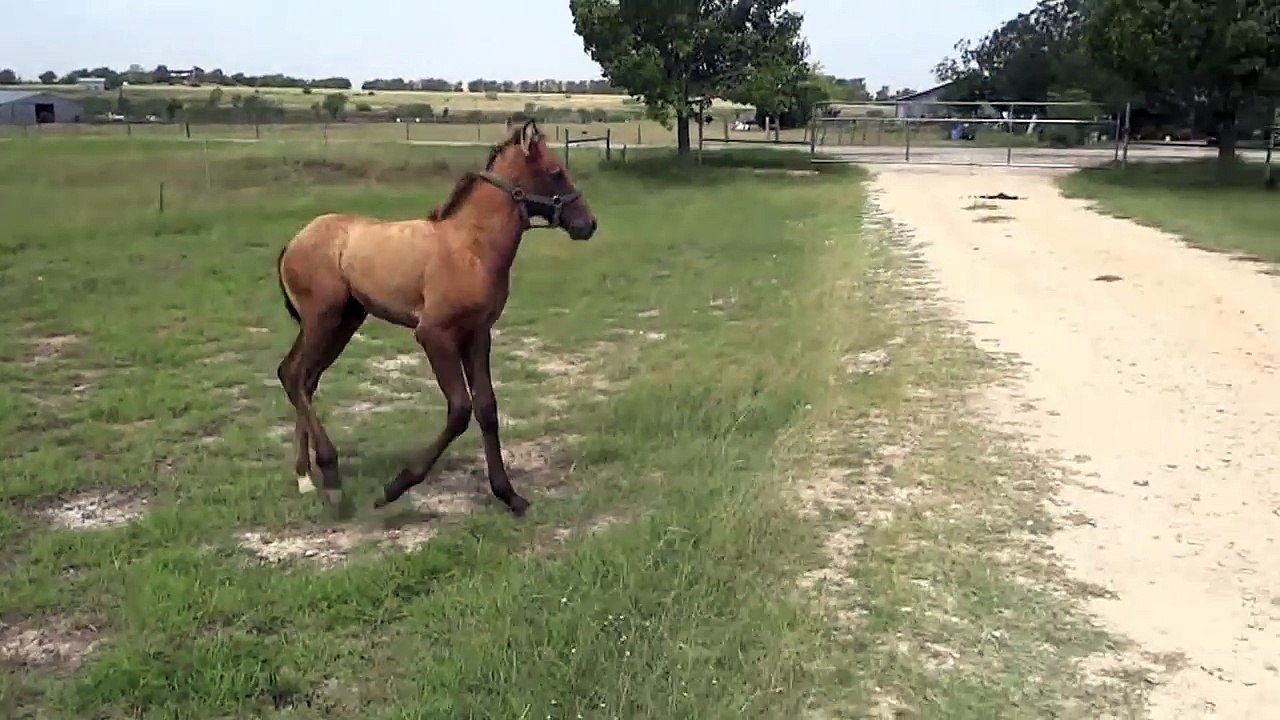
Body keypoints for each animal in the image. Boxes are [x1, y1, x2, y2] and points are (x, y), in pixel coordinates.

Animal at [274, 119, 597, 517]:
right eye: (555, 172)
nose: (588, 224)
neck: (471, 246)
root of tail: (294, 241)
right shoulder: (434, 335)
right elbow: (460, 410)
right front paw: (394, 487)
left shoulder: (478, 334)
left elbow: (487, 408)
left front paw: (510, 495)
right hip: (324, 319)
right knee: (294, 376)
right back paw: (331, 478)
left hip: (344, 321)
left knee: (302, 378)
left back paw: (305, 477)